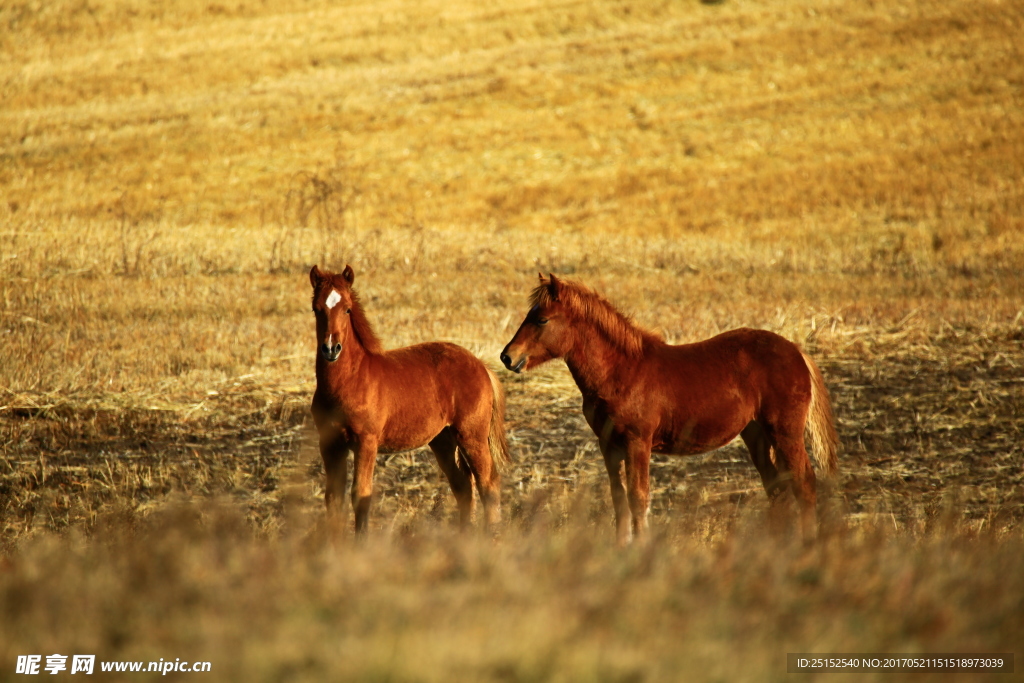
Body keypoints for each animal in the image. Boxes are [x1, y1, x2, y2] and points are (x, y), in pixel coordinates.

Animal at [307, 264, 507, 536]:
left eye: (347, 308)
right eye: (316, 309)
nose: (331, 349)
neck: (350, 380)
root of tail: (481, 366)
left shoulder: (366, 441)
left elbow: (361, 495)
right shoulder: (329, 444)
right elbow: (333, 498)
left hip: (471, 435)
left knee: (488, 483)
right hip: (443, 440)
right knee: (463, 486)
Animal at [497, 272, 839, 544]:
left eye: (541, 319)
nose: (507, 357)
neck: (623, 370)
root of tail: (796, 350)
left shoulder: (637, 442)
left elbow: (638, 497)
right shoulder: (609, 445)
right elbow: (618, 497)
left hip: (785, 432)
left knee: (804, 482)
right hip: (756, 435)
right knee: (777, 488)